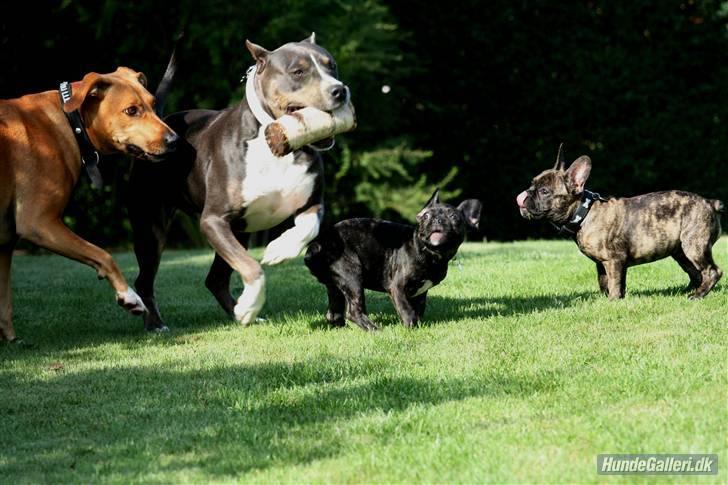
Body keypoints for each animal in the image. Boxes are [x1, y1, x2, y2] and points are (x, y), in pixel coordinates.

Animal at [0, 67, 178, 340]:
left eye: (153, 103)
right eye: (131, 110)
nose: (175, 140)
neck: (70, 121)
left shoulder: (5, 243)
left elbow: (5, 303)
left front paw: (10, 339)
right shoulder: (39, 223)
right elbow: (103, 254)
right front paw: (128, 296)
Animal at [129, 35, 352, 328]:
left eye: (332, 66)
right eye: (298, 72)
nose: (339, 90)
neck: (275, 141)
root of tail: (162, 125)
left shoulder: (312, 204)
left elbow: (308, 228)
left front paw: (279, 249)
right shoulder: (213, 220)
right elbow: (251, 266)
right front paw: (250, 304)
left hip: (239, 231)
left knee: (215, 279)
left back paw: (240, 312)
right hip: (151, 229)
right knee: (145, 280)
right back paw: (157, 324)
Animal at [302, 191, 480, 330]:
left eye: (453, 217)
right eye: (426, 216)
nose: (436, 220)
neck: (431, 253)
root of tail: (317, 245)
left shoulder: (420, 294)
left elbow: (418, 309)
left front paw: (419, 325)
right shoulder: (397, 287)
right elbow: (407, 310)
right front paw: (411, 327)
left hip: (336, 285)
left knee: (334, 312)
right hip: (352, 276)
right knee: (354, 311)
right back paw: (375, 330)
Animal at [516, 144, 724, 298]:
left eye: (544, 191)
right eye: (532, 184)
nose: (526, 193)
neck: (584, 213)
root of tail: (709, 202)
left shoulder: (613, 260)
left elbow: (614, 283)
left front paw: (613, 301)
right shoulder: (602, 263)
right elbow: (605, 282)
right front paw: (605, 299)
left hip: (694, 246)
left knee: (712, 271)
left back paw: (698, 295)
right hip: (680, 252)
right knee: (695, 273)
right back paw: (686, 292)